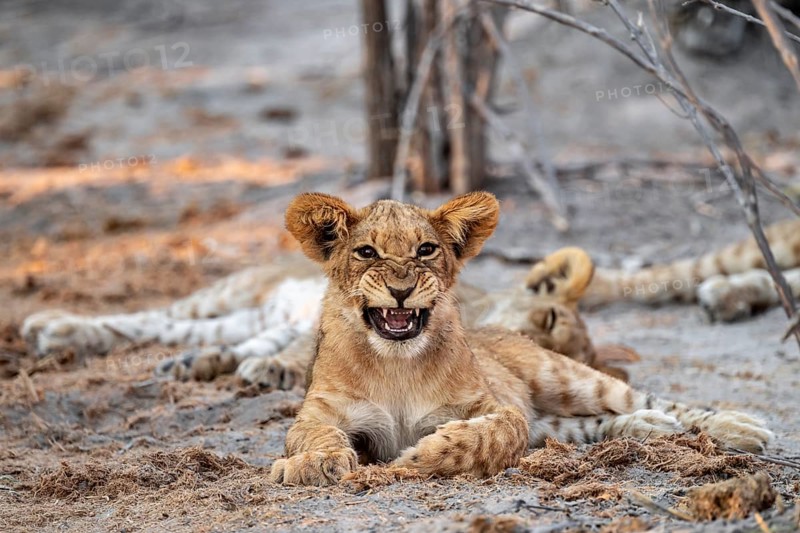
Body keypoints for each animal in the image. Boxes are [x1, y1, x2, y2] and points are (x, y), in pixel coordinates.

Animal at [269, 191, 772, 486]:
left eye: (426, 250)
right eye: (366, 252)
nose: (401, 289)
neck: (396, 362)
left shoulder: (490, 405)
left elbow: (495, 432)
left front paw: (422, 455)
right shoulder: (320, 413)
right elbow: (313, 435)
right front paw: (313, 465)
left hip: (563, 377)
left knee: (649, 400)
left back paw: (740, 427)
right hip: (554, 419)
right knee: (587, 425)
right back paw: (650, 428)